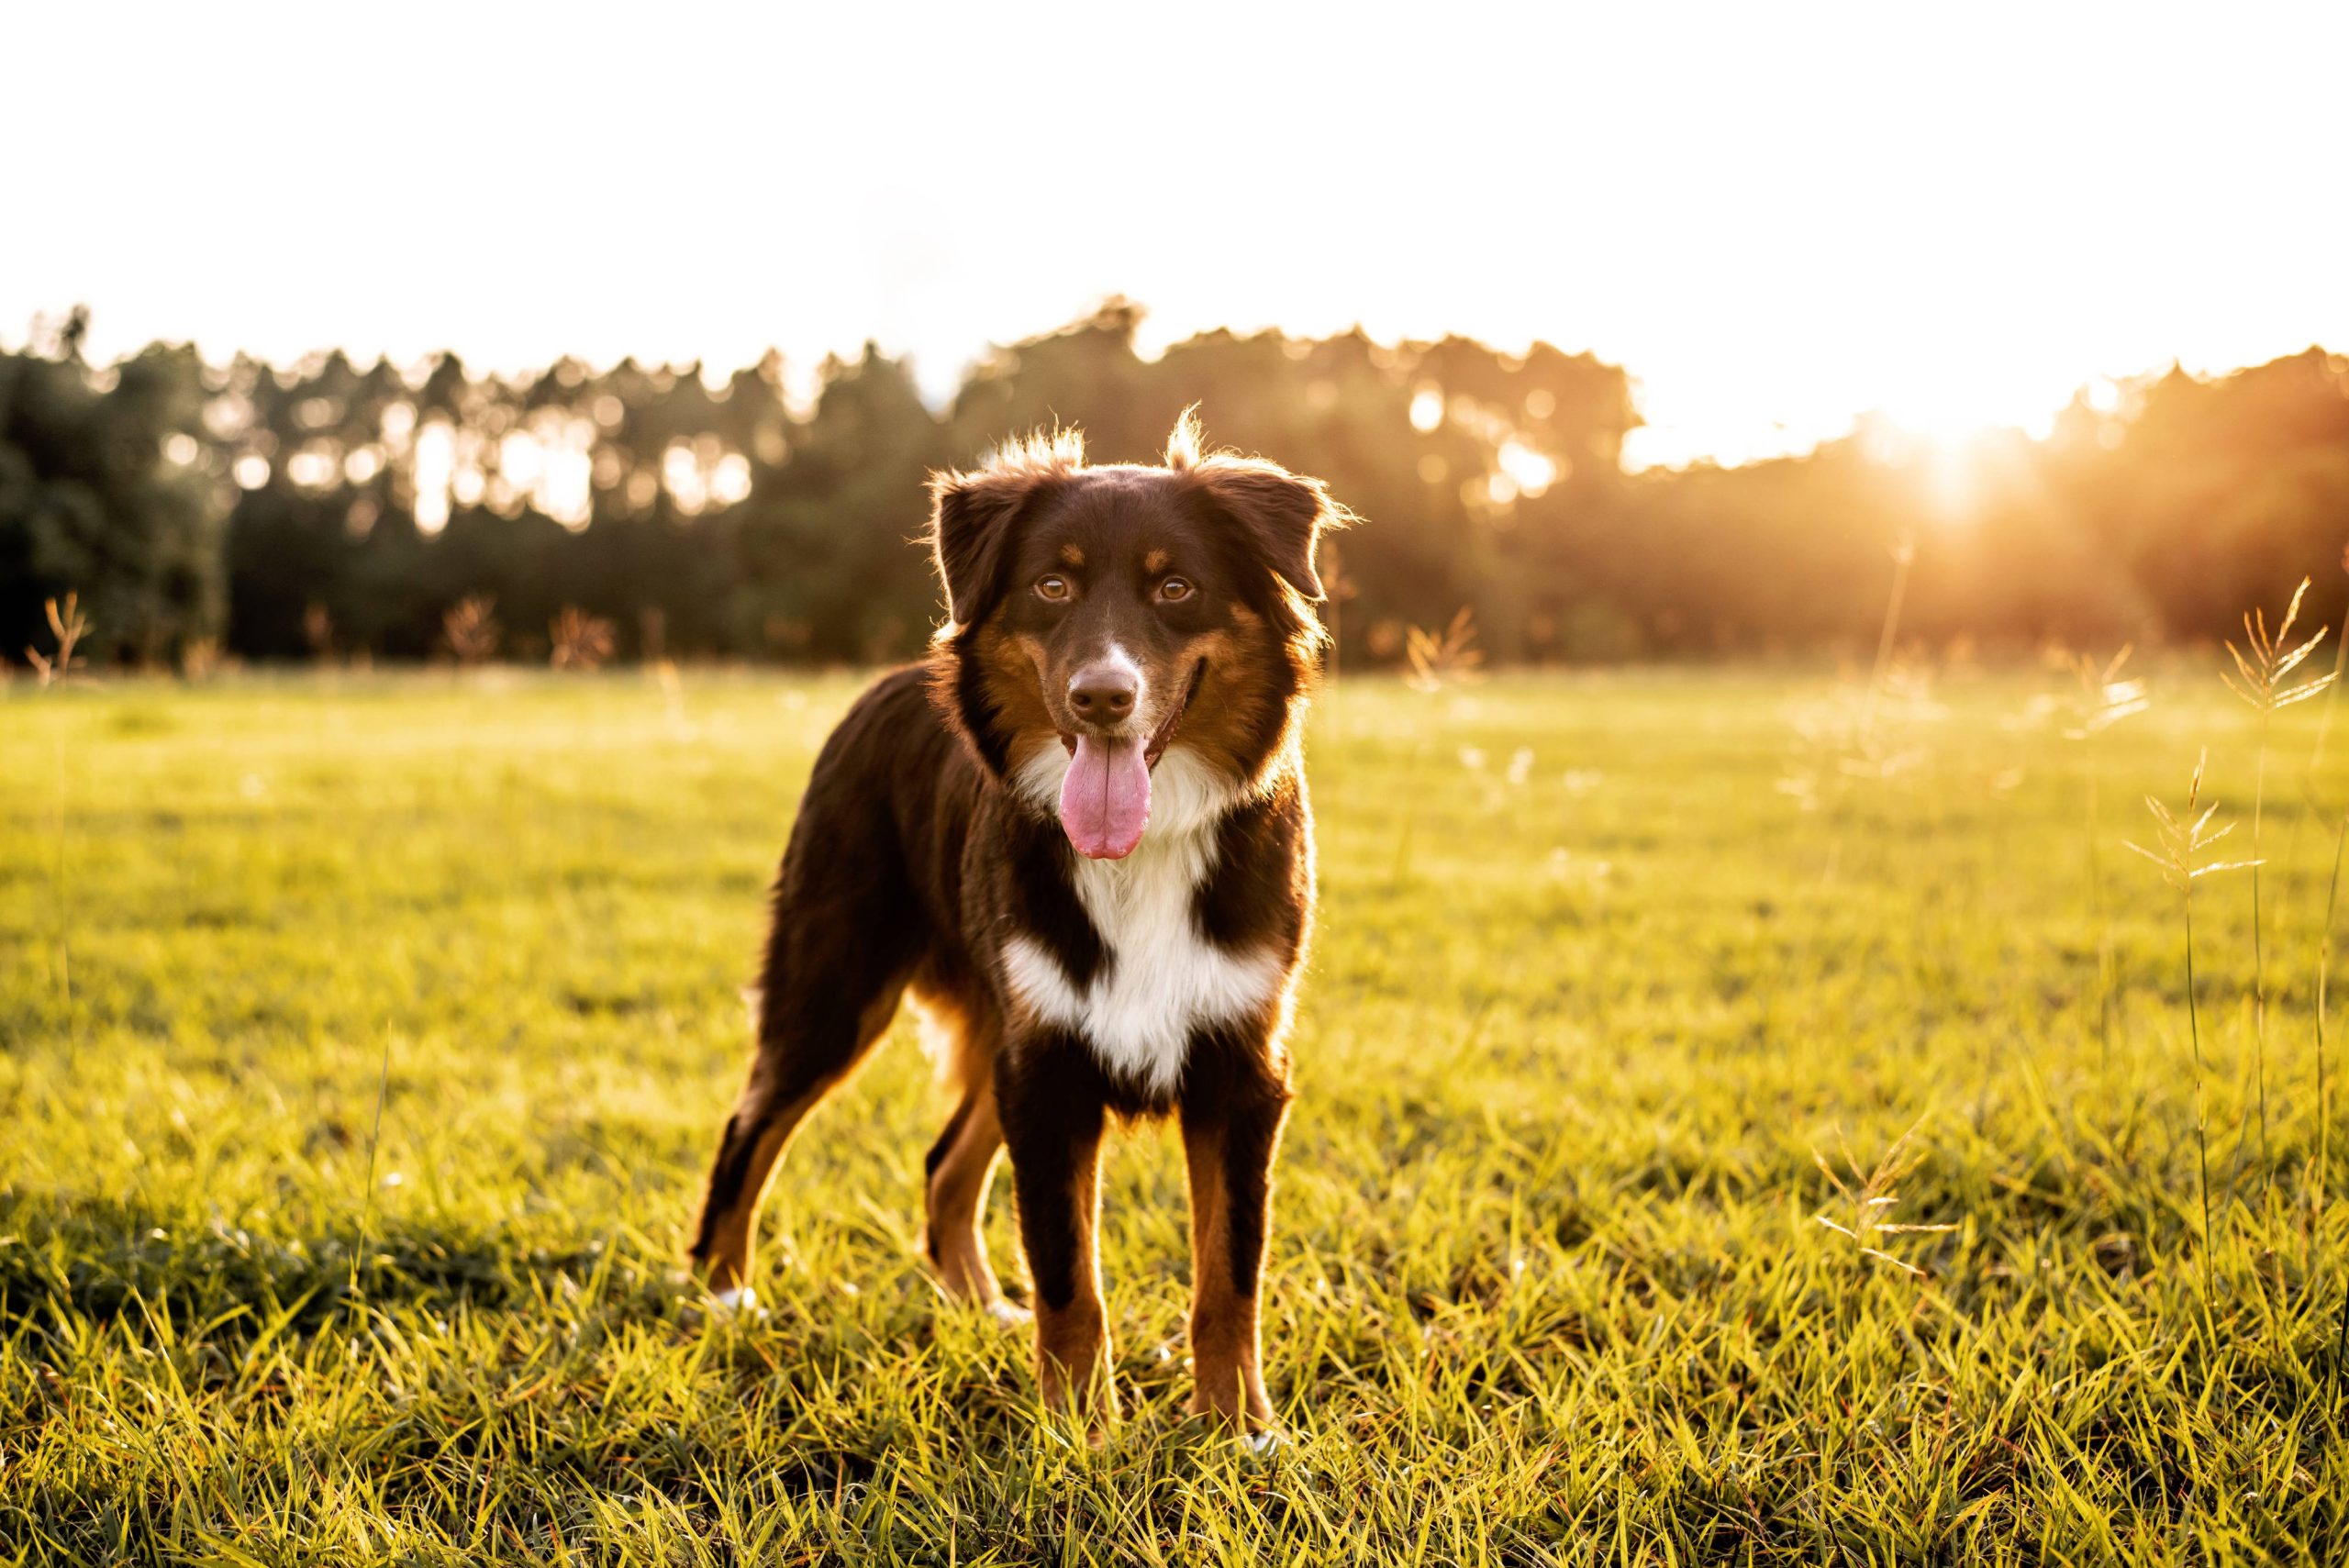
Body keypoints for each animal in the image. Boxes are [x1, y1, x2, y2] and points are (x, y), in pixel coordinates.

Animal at [685, 413, 1353, 1436]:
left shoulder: (1238, 1065)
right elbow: (1070, 1274)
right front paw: (1081, 1429)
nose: (1101, 697)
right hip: (836, 985)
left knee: (941, 1165)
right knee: (750, 1124)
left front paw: (1238, 1429)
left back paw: (978, 1305)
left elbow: (1228, 1273)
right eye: (1052, 585)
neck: (1141, 848)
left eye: (1175, 587)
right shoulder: (1049, 1068)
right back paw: (724, 1293)